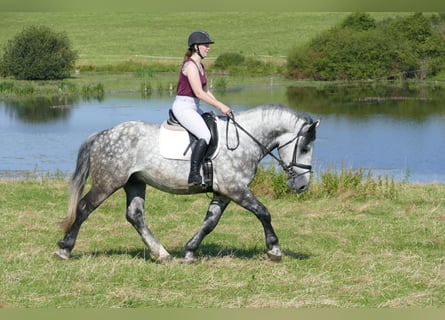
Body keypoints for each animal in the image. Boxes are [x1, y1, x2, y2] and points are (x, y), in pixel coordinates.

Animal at [54, 105, 320, 262]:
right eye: (305, 148)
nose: (302, 186)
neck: (244, 140)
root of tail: (103, 134)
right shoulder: (235, 189)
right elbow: (263, 212)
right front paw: (274, 249)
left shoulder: (224, 193)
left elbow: (210, 222)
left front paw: (190, 250)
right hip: (108, 182)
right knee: (84, 208)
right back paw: (64, 249)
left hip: (135, 182)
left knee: (135, 215)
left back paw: (162, 254)